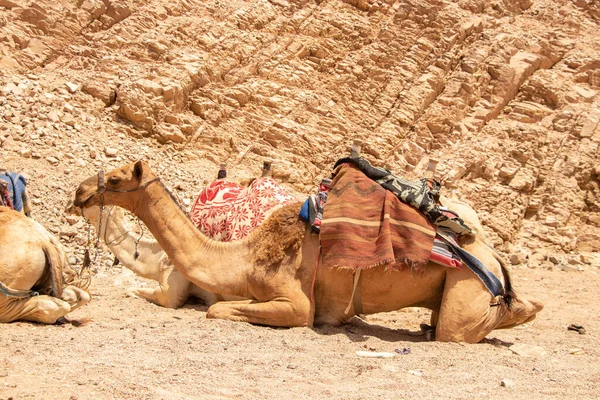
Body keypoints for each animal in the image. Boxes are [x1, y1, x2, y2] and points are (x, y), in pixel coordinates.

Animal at [74, 161, 544, 342]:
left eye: (115, 179)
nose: (80, 192)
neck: (240, 256)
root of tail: (493, 260)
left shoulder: (296, 303)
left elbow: (217, 309)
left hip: (467, 285)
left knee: (460, 328)